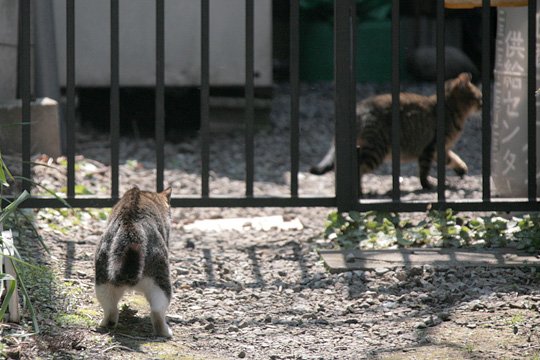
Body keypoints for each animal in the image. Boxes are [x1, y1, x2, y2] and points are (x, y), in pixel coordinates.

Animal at [95, 186, 173, 338]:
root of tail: (131, 226)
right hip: (161, 279)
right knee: (157, 312)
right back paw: (165, 331)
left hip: (102, 278)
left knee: (110, 308)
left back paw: (106, 323)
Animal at [310, 71, 484, 193]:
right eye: (479, 97)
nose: (483, 103)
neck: (451, 107)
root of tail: (358, 109)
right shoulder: (431, 147)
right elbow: (424, 170)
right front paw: (427, 185)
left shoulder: (436, 148)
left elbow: (451, 157)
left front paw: (461, 168)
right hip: (377, 150)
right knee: (357, 169)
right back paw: (360, 192)